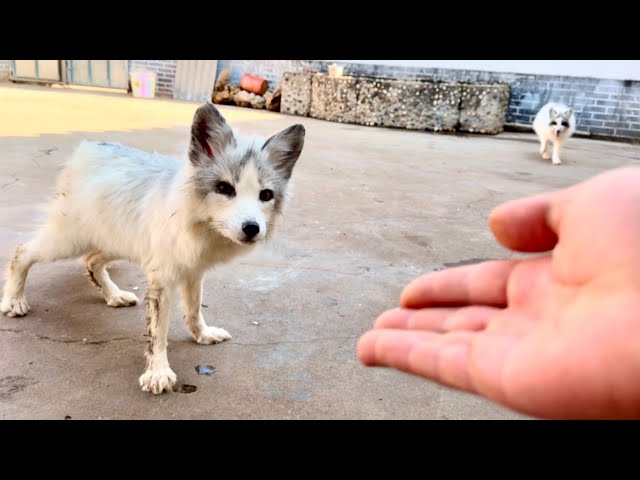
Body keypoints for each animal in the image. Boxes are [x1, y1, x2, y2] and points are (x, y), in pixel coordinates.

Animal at [0, 101, 304, 394]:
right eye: (224, 188)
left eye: (266, 195)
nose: (252, 228)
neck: (199, 222)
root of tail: (88, 147)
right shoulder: (162, 278)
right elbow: (158, 332)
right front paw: (158, 372)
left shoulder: (193, 272)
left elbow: (193, 310)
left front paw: (202, 335)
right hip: (69, 240)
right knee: (22, 252)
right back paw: (14, 300)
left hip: (117, 241)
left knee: (91, 261)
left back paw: (114, 295)